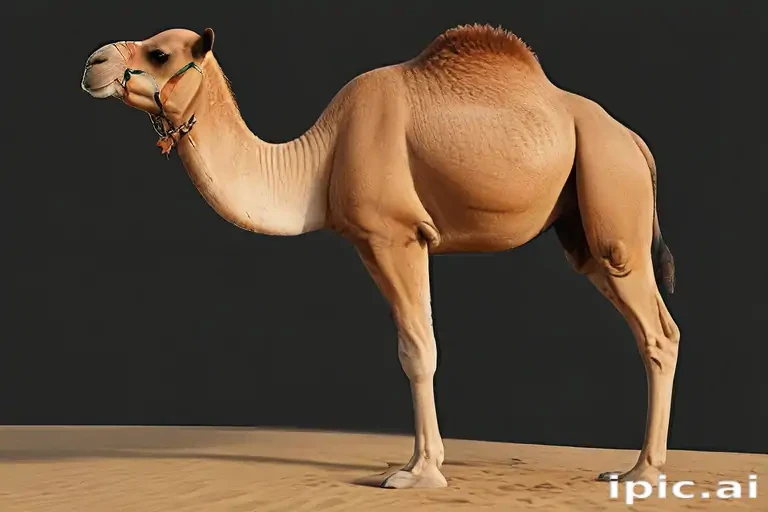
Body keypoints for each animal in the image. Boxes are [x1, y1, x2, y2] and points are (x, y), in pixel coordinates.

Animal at [80, 24, 680, 489]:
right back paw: (638, 468)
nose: (93, 63)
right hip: (583, 231)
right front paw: (411, 462)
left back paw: (643, 473)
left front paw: (421, 474)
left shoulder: (397, 235)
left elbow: (419, 350)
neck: (317, 160)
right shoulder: (370, 244)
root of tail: (636, 142)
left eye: (160, 53)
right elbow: (408, 349)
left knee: (657, 330)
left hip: (613, 193)